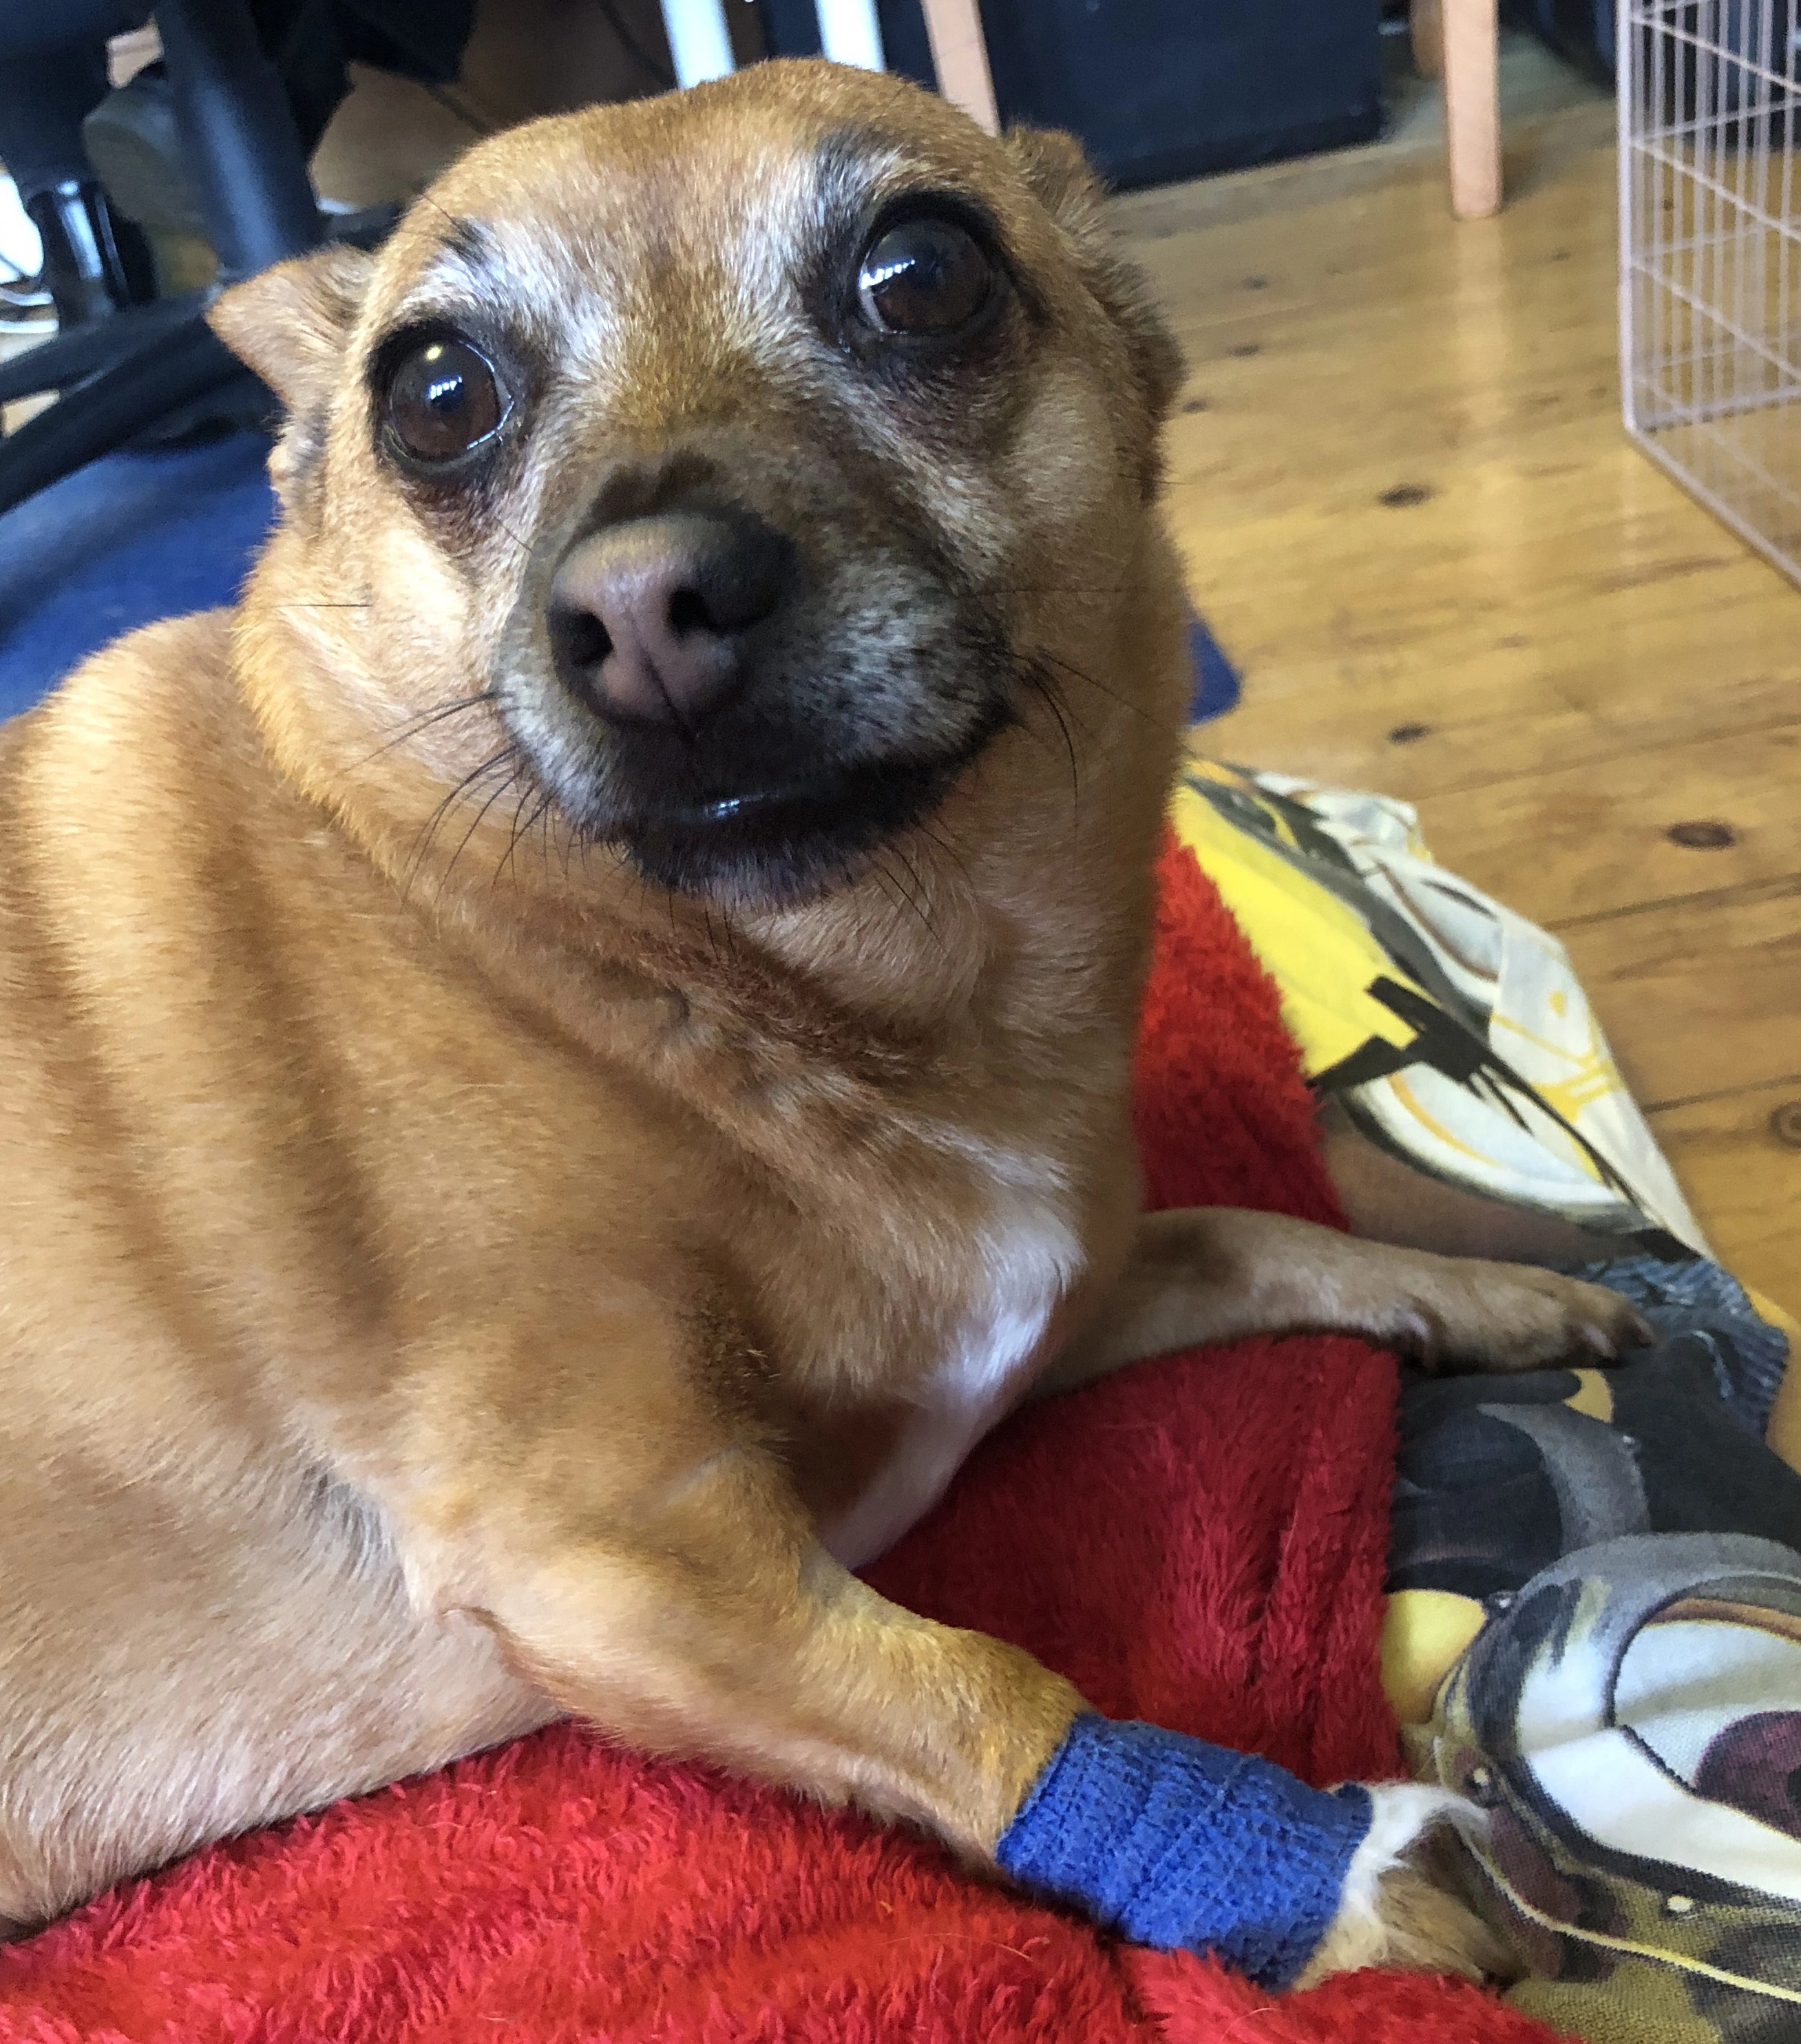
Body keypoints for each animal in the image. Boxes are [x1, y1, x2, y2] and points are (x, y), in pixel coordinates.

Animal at [0, 59, 1635, 1978]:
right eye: (435, 396)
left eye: (921, 277)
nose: (641, 605)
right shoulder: (615, 1552)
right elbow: (978, 1693)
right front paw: (1338, 1876)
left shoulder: (1024, 1318)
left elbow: (1247, 1230)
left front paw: (1484, 1291)